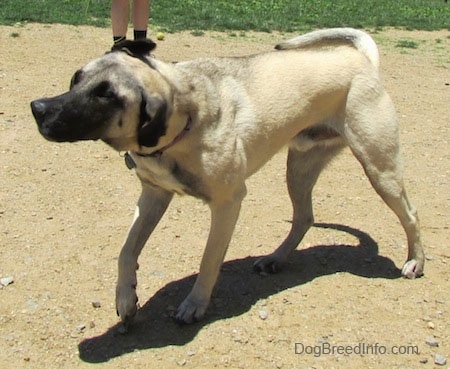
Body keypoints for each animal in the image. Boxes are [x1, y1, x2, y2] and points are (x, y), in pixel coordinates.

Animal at [29, 27, 424, 324]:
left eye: (106, 96)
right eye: (76, 78)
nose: (37, 108)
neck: (185, 116)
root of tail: (362, 60)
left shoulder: (227, 203)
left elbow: (208, 259)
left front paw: (194, 304)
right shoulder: (154, 194)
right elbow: (126, 250)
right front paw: (126, 298)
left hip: (380, 168)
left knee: (411, 214)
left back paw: (415, 261)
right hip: (299, 167)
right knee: (304, 217)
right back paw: (276, 258)